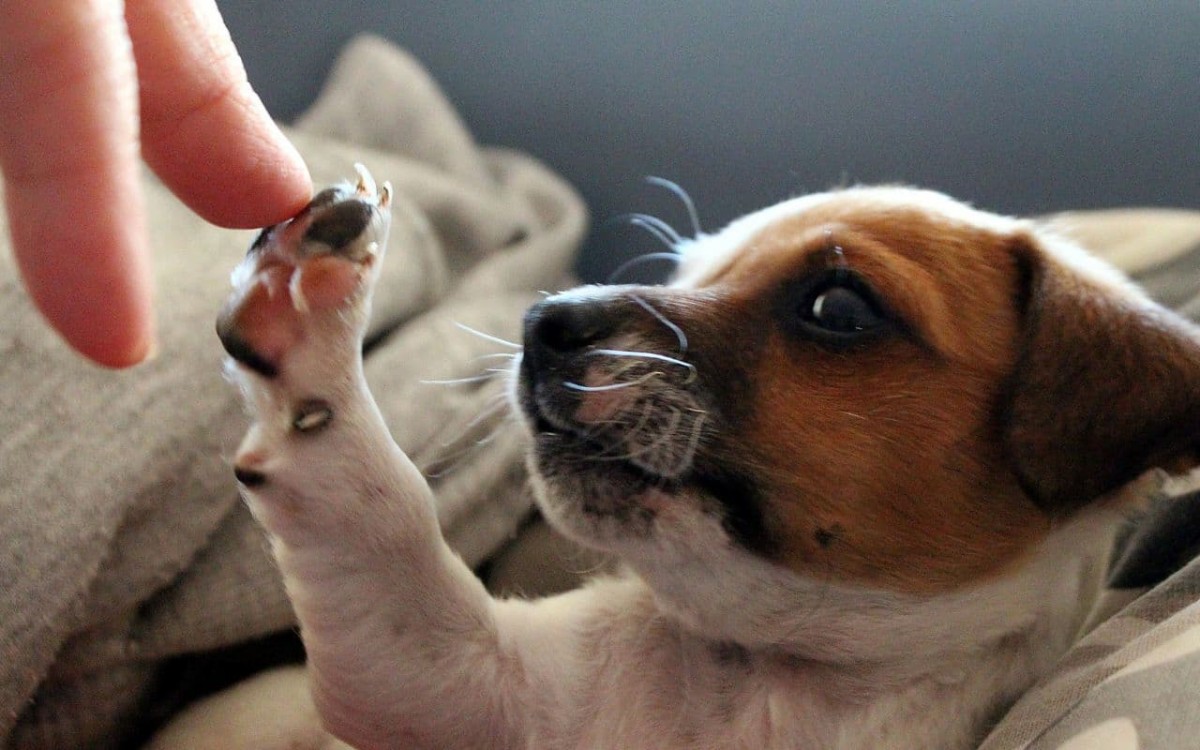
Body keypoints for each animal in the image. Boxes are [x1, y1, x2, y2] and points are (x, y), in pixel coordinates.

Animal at [174, 169, 1200, 748]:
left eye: (839, 307)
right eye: (682, 273)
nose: (542, 322)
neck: (768, 674)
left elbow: (375, 505)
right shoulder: (440, 680)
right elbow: (378, 505)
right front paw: (305, 310)